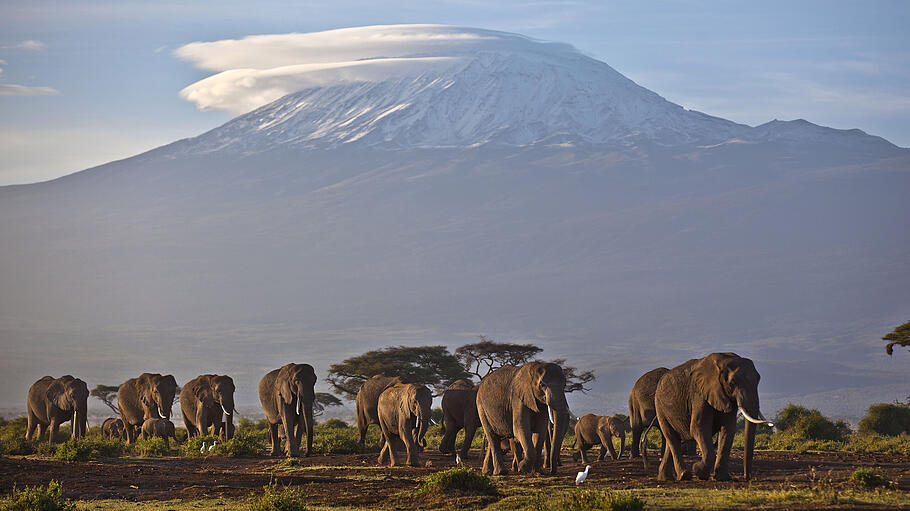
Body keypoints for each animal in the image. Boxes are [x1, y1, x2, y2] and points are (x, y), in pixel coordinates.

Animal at [656, 354, 776, 482]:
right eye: (732, 382)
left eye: (758, 380)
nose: (746, 477)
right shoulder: (699, 394)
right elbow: (699, 428)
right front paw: (697, 471)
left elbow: (728, 429)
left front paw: (722, 478)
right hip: (660, 408)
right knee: (671, 438)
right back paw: (684, 475)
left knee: (673, 441)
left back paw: (665, 478)